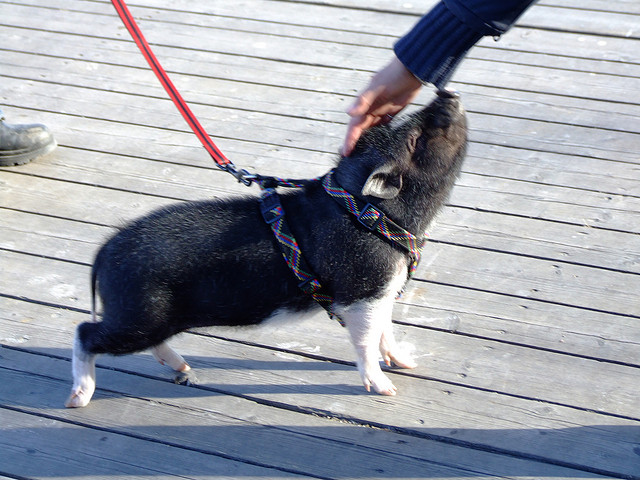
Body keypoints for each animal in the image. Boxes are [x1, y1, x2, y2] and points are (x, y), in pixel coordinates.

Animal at [65, 88, 468, 406]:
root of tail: (104, 251)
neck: (369, 211)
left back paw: (183, 368)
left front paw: (407, 363)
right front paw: (385, 390)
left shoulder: (382, 294)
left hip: (148, 319)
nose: (449, 94)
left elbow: (387, 331)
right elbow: (367, 341)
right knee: (85, 332)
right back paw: (78, 399)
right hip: (138, 314)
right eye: (415, 137)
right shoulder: (361, 294)